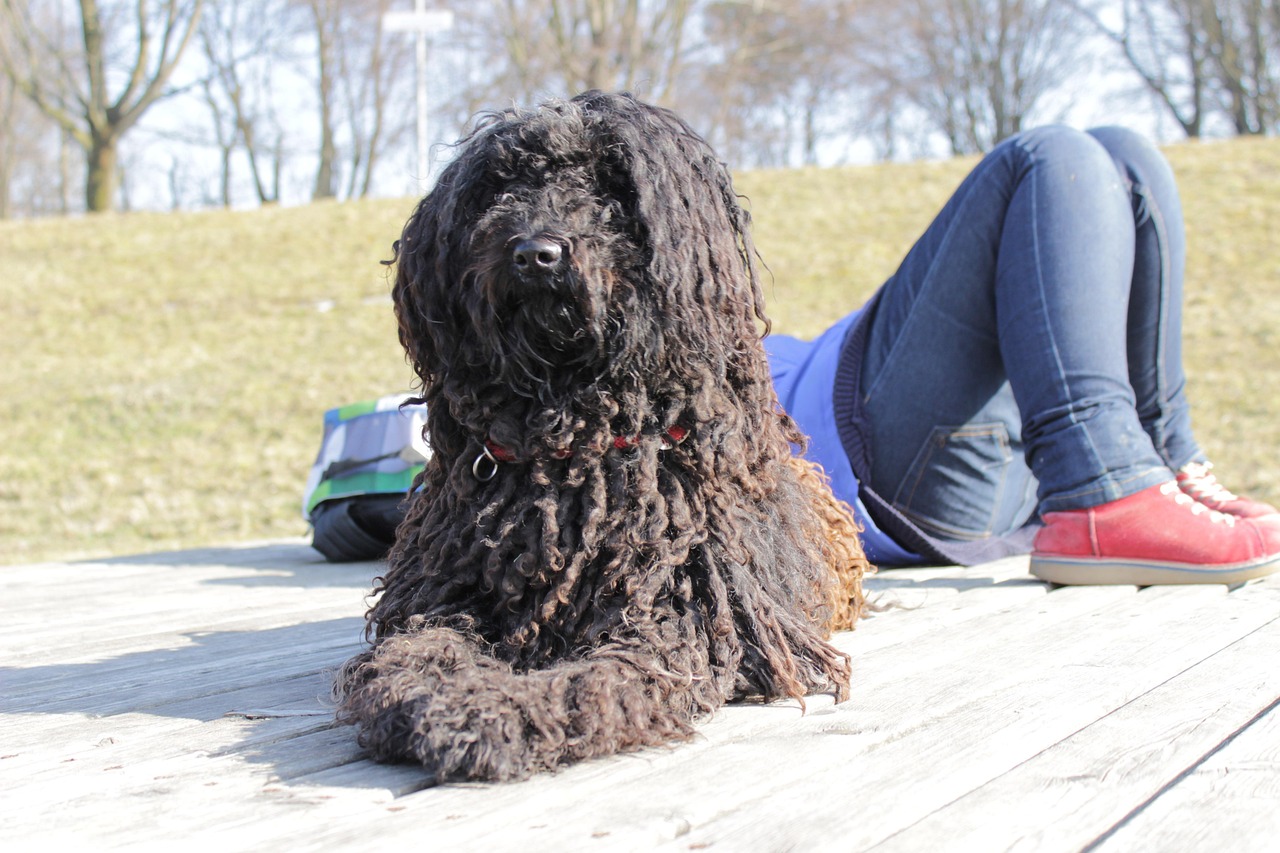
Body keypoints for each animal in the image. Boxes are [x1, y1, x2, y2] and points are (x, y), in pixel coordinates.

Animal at [332, 91, 870, 778]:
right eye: (500, 186)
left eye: (612, 184)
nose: (536, 252)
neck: (569, 445)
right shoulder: (444, 593)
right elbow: (418, 651)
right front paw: (438, 699)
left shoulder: (671, 613)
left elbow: (594, 683)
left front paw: (504, 715)